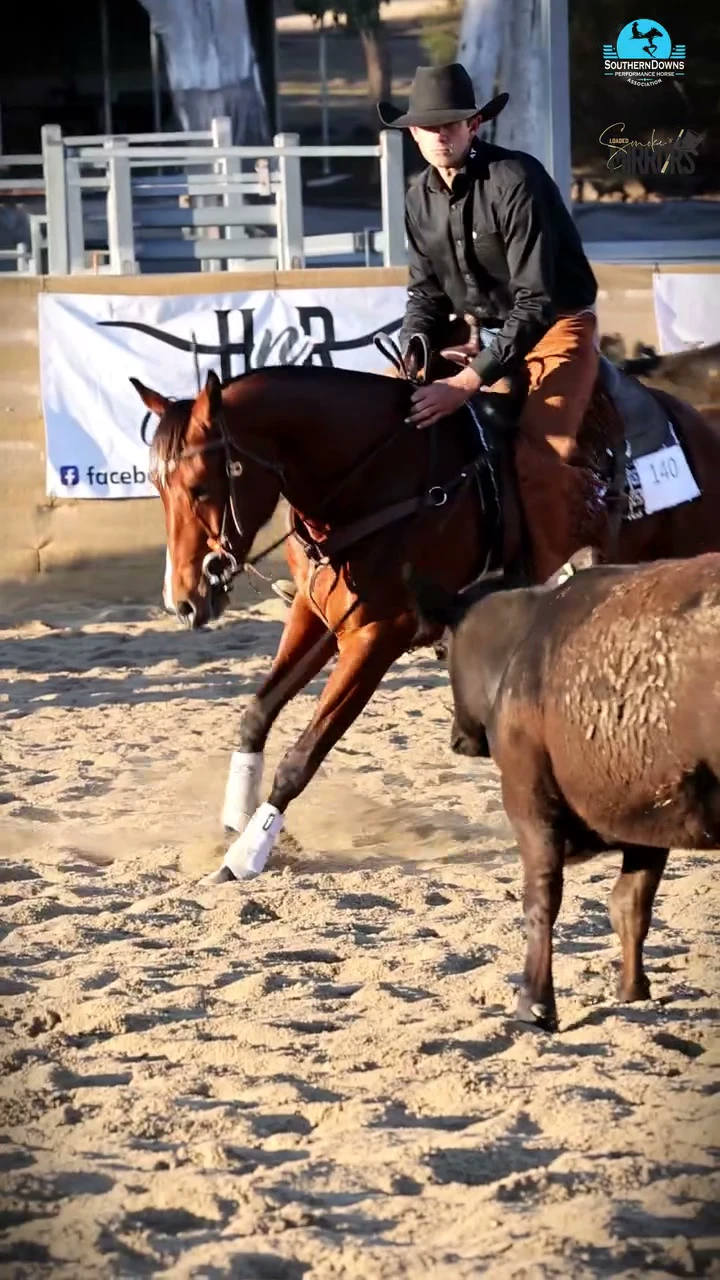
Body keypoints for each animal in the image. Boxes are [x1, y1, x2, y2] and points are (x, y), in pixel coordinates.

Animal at [131, 359, 720, 884]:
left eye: (201, 485)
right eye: (157, 487)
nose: (183, 600)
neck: (378, 483)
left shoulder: (377, 637)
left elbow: (303, 755)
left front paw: (246, 856)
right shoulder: (316, 613)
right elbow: (257, 711)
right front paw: (235, 821)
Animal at [408, 550, 720, 1031]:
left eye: (442, 649)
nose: (458, 739)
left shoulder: (529, 800)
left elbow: (542, 901)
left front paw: (535, 1003)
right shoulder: (648, 813)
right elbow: (630, 905)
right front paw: (633, 990)